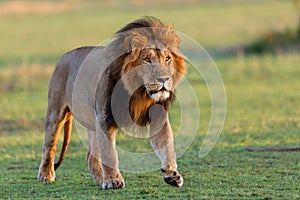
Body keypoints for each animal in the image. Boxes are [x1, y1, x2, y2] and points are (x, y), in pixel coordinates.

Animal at [37, 16, 188, 189]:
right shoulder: (104, 118)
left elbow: (167, 146)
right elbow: (110, 154)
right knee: (49, 146)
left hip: (92, 122)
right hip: (56, 113)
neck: (138, 92)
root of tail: (64, 56)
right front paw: (113, 180)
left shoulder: (158, 117)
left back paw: (100, 179)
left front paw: (172, 174)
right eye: (147, 59)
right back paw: (46, 174)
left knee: (91, 156)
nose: (163, 79)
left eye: (167, 59)